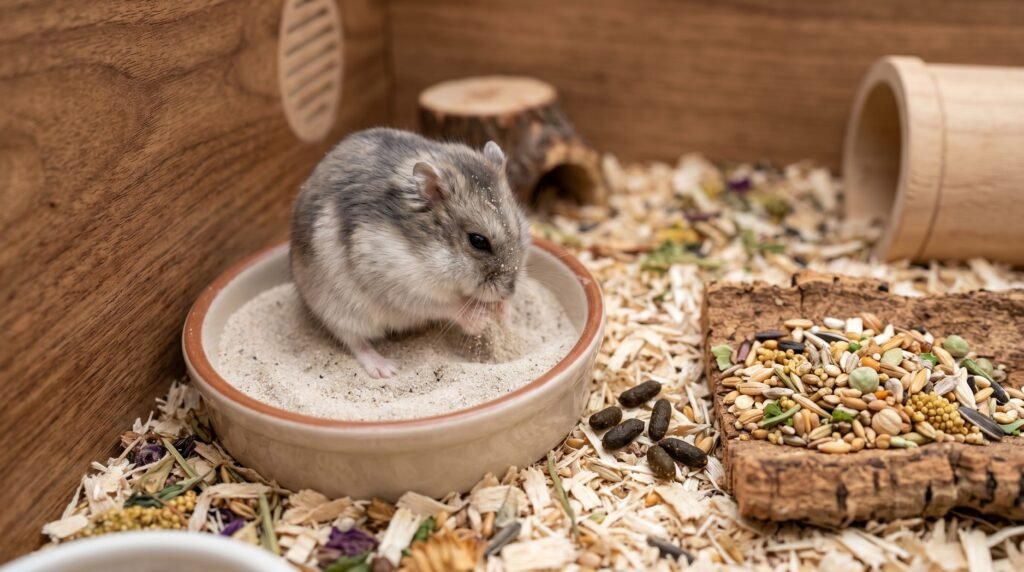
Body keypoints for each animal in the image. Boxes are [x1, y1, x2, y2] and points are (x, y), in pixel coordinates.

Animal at [290, 128, 530, 378]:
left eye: (519, 226)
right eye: (478, 241)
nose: (509, 292)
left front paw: (504, 311)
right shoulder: (404, 286)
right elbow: (444, 306)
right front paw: (478, 319)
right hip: (337, 309)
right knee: (354, 340)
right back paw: (386, 369)